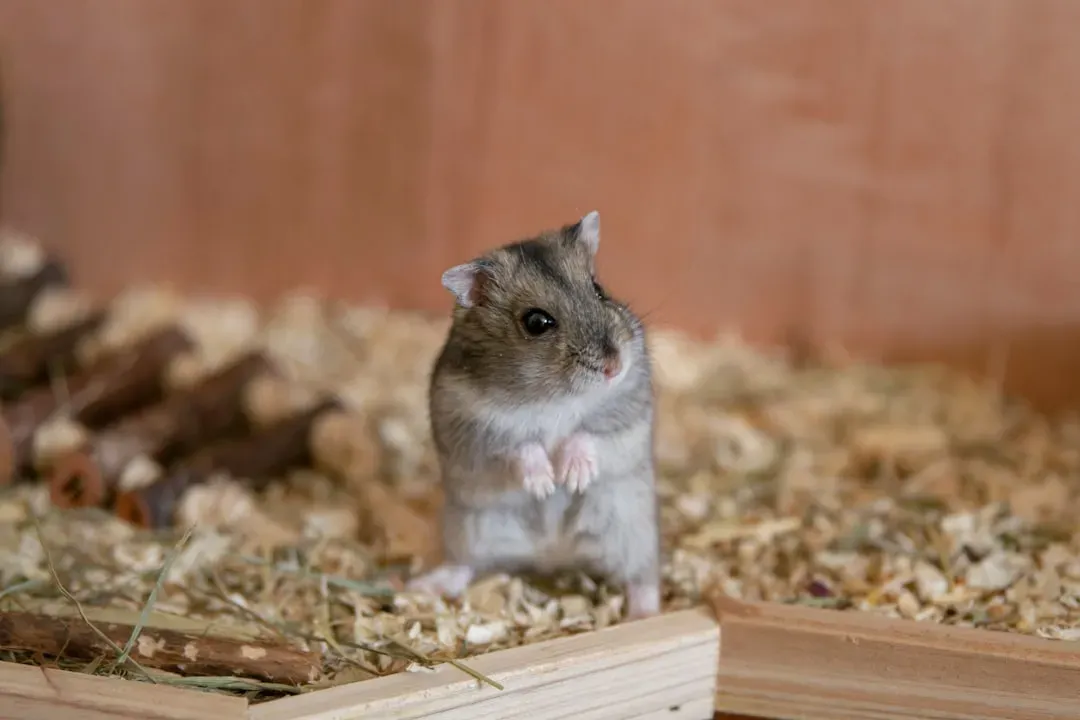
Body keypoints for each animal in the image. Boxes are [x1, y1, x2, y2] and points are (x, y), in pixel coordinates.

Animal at [407, 210, 662, 620]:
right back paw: (421, 587)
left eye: (598, 289)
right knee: (464, 565)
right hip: (470, 529)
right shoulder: (474, 429)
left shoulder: (628, 410)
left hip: (632, 531)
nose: (614, 366)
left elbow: (588, 434)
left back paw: (645, 615)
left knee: (642, 578)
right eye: (537, 322)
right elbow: (519, 446)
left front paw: (571, 477)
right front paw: (545, 483)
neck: (553, 396)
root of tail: (553, 555)